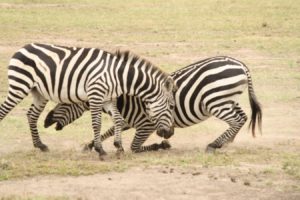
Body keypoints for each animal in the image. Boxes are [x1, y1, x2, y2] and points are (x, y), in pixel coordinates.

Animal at [0, 43, 176, 159]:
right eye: (172, 106)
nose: (170, 133)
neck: (119, 77)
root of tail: (23, 47)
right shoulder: (96, 95)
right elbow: (97, 123)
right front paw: (100, 150)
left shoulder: (108, 99)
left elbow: (118, 119)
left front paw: (118, 146)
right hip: (19, 86)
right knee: (3, 111)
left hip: (39, 93)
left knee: (31, 115)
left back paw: (41, 145)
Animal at [43, 56, 262, 153]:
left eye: (62, 103)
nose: (45, 122)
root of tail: (239, 63)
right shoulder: (128, 121)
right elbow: (109, 131)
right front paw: (90, 144)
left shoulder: (145, 124)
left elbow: (134, 146)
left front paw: (160, 145)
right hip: (228, 99)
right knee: (241, 117)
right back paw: (226, 141)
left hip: (216, 100)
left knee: (236, 120)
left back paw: (214, 144)